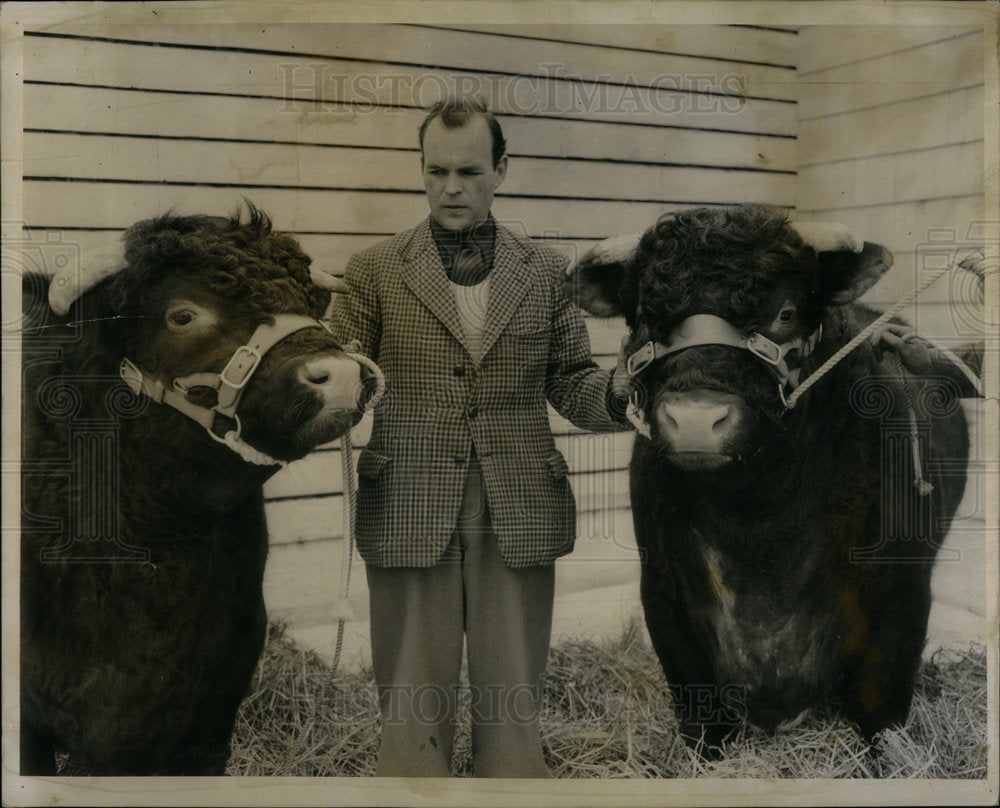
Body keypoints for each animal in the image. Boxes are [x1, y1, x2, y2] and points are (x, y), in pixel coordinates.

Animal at [568, 205, 972, 756]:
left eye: (784, 313)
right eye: (646, 316)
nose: (696, 420)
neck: (758, 515)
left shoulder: (902, 591)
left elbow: (882, 708)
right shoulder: (663, 591)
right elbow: (698, 710)